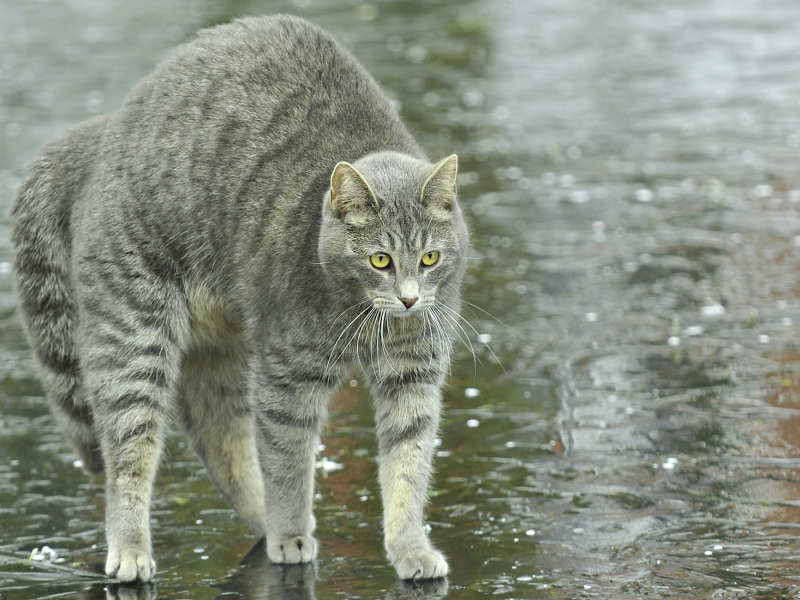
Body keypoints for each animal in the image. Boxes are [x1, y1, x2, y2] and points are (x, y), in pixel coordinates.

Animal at [9, 15, 466, 584]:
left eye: (430, 258)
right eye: (380, 260)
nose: (408, 301)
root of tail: (106, 128)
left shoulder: (414, 373)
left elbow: (409, 463)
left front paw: (410, 547)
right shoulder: (288, 375)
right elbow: (289, 462)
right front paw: (290, 532)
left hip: (219, 348)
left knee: (217, 435)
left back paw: (259, 518)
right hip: (135, 338)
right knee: (127, 455)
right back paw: (138, 546)